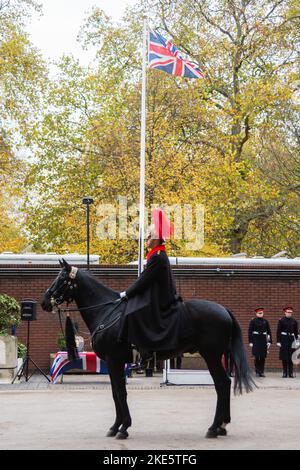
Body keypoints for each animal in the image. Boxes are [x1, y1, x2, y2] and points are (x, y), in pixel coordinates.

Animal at [41, 258, 254, 438]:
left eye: (61, 279)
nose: (44, 302)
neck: (106, 312)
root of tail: (224, 309)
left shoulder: (114, 360)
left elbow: (120, 392)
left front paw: (123, 428)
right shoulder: (114, 363)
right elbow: (115, 393)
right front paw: (116, 426)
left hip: (211, 355)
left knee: (222, 384)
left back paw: (214, 427)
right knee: (224, 384)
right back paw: (221, 426)